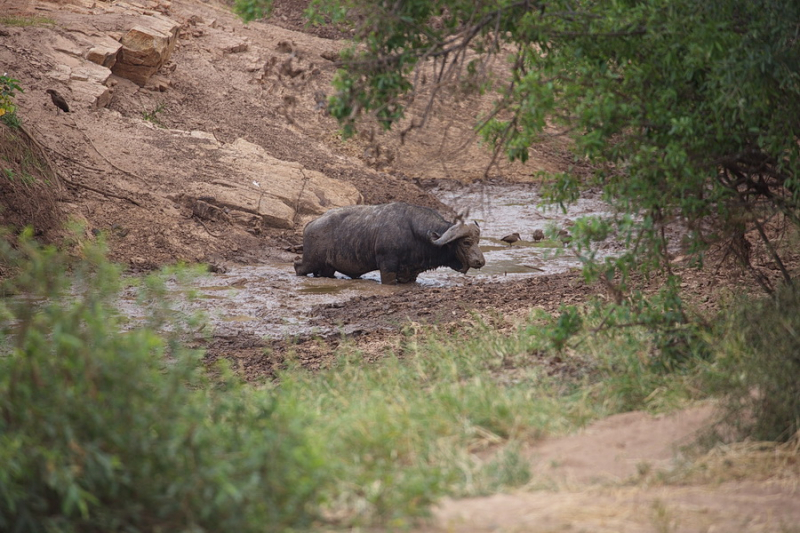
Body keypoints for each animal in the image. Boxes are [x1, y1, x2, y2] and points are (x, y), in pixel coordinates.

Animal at [292, 200, 484, 282]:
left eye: (477, 241)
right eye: (466, 242)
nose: (480, 261)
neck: (413, 232)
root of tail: (311, 224)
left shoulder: (410, 273)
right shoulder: (387, 268)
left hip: (327, 268)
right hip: (310, 262)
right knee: (297, 267)